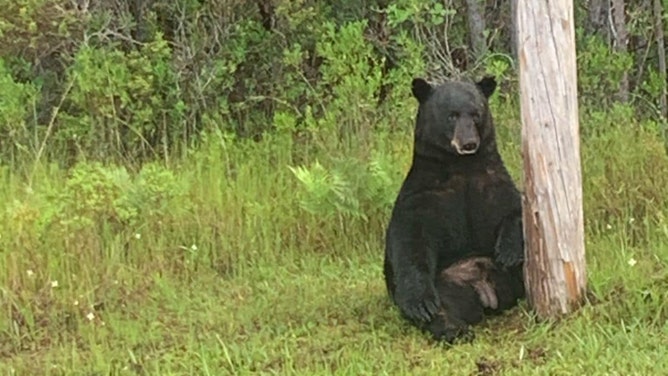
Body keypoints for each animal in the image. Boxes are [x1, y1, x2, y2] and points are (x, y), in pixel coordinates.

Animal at [384, 75, 524, 342]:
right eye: (452, 115)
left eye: (476, 113)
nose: (469, 143)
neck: (462, 166)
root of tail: (483, 289)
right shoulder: (424, 195)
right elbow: (411, 240)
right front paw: (420, 304)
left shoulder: (492, 182)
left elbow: (515, 208)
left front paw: (509, 251)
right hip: (446, 284)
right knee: (442, 307)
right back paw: (453, 328)